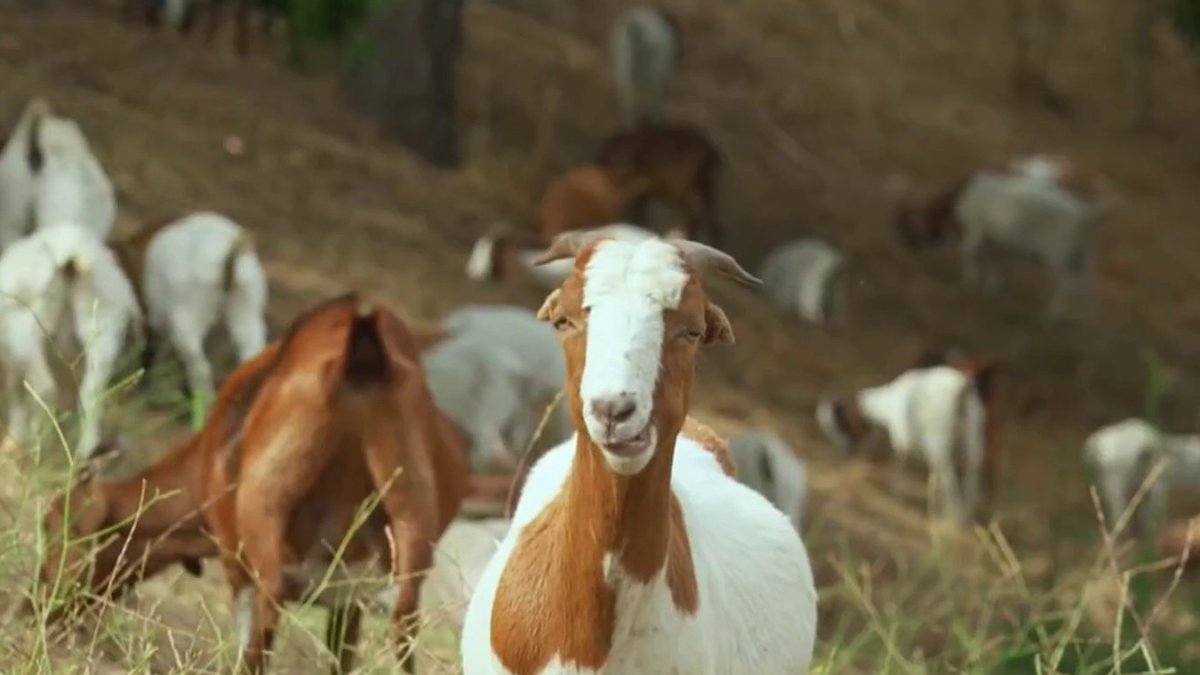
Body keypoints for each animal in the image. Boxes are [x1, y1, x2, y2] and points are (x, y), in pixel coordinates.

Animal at [0, 223, 142, 459]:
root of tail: (68, 257)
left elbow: (15, 389)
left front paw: (17, 434)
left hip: (29, 333)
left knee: (45, 388)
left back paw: (38, 444)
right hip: (100, 328)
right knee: (91, 392)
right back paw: (84, 450)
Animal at [111, 211, 268, 425]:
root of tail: (227, 251)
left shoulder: (150, 317)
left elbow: (150, 351)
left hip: (189, 315)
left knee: (200, 368)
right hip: (247, 306)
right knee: (250, 355)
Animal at [203, 293, 468, 674]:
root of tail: (360, 359)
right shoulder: (351, 595)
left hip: (263, 512)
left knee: (266, 613)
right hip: (410, 527)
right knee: (404, 624)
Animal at [816, 357, 999, 524]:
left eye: (841, 424)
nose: (845, 453)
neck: (888, 406)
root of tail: (960, 390)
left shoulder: (901, 442)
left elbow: (900, 467)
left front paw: (897, 496)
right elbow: (934, 477)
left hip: (938, 438)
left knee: (948, 473)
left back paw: (953, 517)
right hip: (974, 435)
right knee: (971, 472)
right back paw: (965, 513)